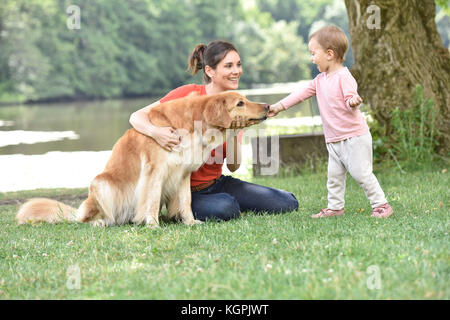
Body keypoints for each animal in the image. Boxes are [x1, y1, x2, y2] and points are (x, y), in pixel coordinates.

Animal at [15, 91, 268, 228]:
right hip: (101, 183)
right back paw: (100, 222)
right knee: (93, 218)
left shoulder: (183, 174)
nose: (266, 105)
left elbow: (185, 202)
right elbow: (152, 200)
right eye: (240, 103)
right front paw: (152, 224)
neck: (192, 124)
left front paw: (190, 222)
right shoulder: (154, 171)